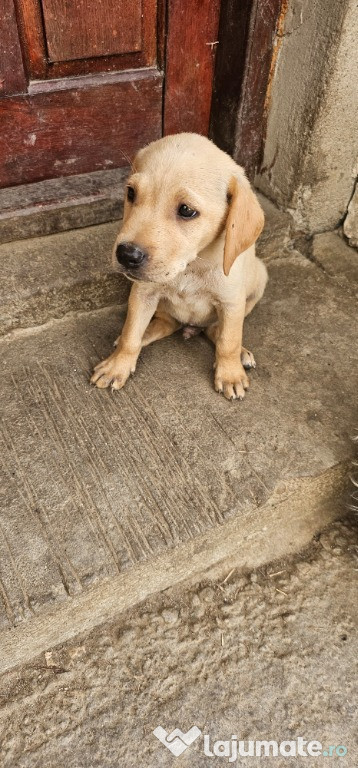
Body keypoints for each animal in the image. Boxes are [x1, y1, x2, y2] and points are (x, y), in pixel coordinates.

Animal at [91, 134, 268, 402]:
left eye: (186, 210)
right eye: (131, 193)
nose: (126, 254)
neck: (190, 267)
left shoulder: (231, 303)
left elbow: (229, 340)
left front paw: (230, 374)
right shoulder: (143, 293)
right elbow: (131, 335)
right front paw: (117, 365)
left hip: (259, 279)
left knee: (215, 331)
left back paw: (240, 355)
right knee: (164, 324)